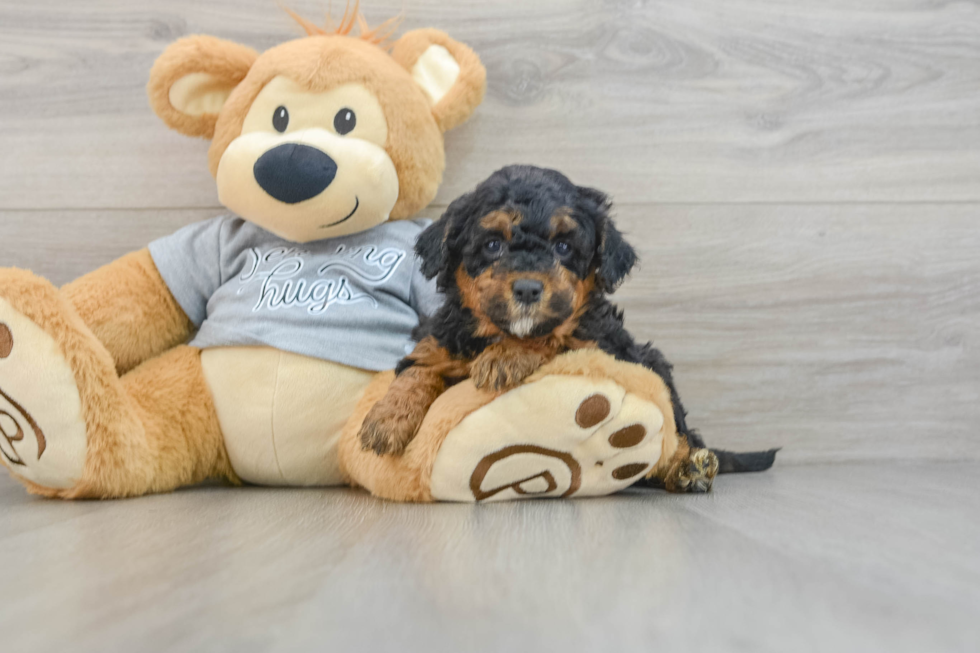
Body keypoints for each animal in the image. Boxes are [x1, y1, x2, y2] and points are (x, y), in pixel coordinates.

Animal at [356, 166, 776, 492]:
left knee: (677, 435)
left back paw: (686, 467)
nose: (528, 288)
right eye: (492, 244)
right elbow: (418, 369)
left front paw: (506, 357)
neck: (500, 331)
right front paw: (386, 420)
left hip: (654, 366)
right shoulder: (440, 340)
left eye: (562, 247)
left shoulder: (600, 345)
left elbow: (553, 337)